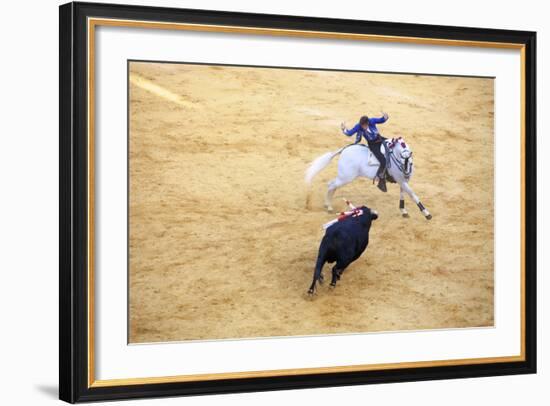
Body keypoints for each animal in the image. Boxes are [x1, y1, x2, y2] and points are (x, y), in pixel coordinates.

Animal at [304, 136, 434, 219]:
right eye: (402, 161)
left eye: (410, 162)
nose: (407, 174)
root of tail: (345, 149)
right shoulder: (401, 180)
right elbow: (412, 195)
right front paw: (426, 214)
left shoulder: (402, 181)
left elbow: (403, 194)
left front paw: (403, 211)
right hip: (346, 177)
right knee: (331, 184)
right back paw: (329, 206)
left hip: (343, 177)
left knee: (332, 186)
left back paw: (328, 205)